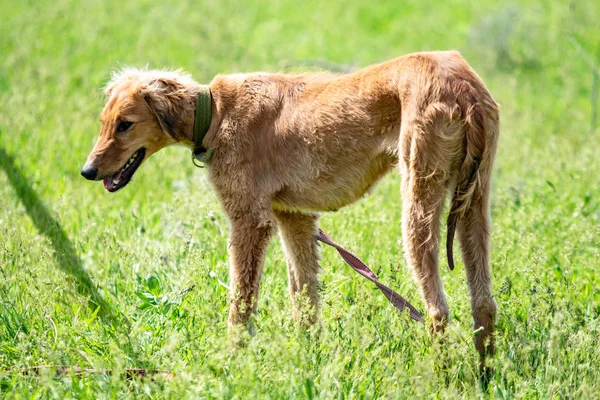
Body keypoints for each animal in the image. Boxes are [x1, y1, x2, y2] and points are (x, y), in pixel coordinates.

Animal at [82, 50, 500, 368]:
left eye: (125, 124)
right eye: (104, 122)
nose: (87, 171)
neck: (214, 113)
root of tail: (463, 86)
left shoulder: (249, 222)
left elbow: (241, 304)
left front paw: (231, 364)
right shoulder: (295, 218)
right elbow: (305, 302)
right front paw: (308, 361)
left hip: (417, 204)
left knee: (437, 311)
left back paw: (442, 376)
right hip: (474, 205)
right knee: (483, 304)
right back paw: (485, 375)